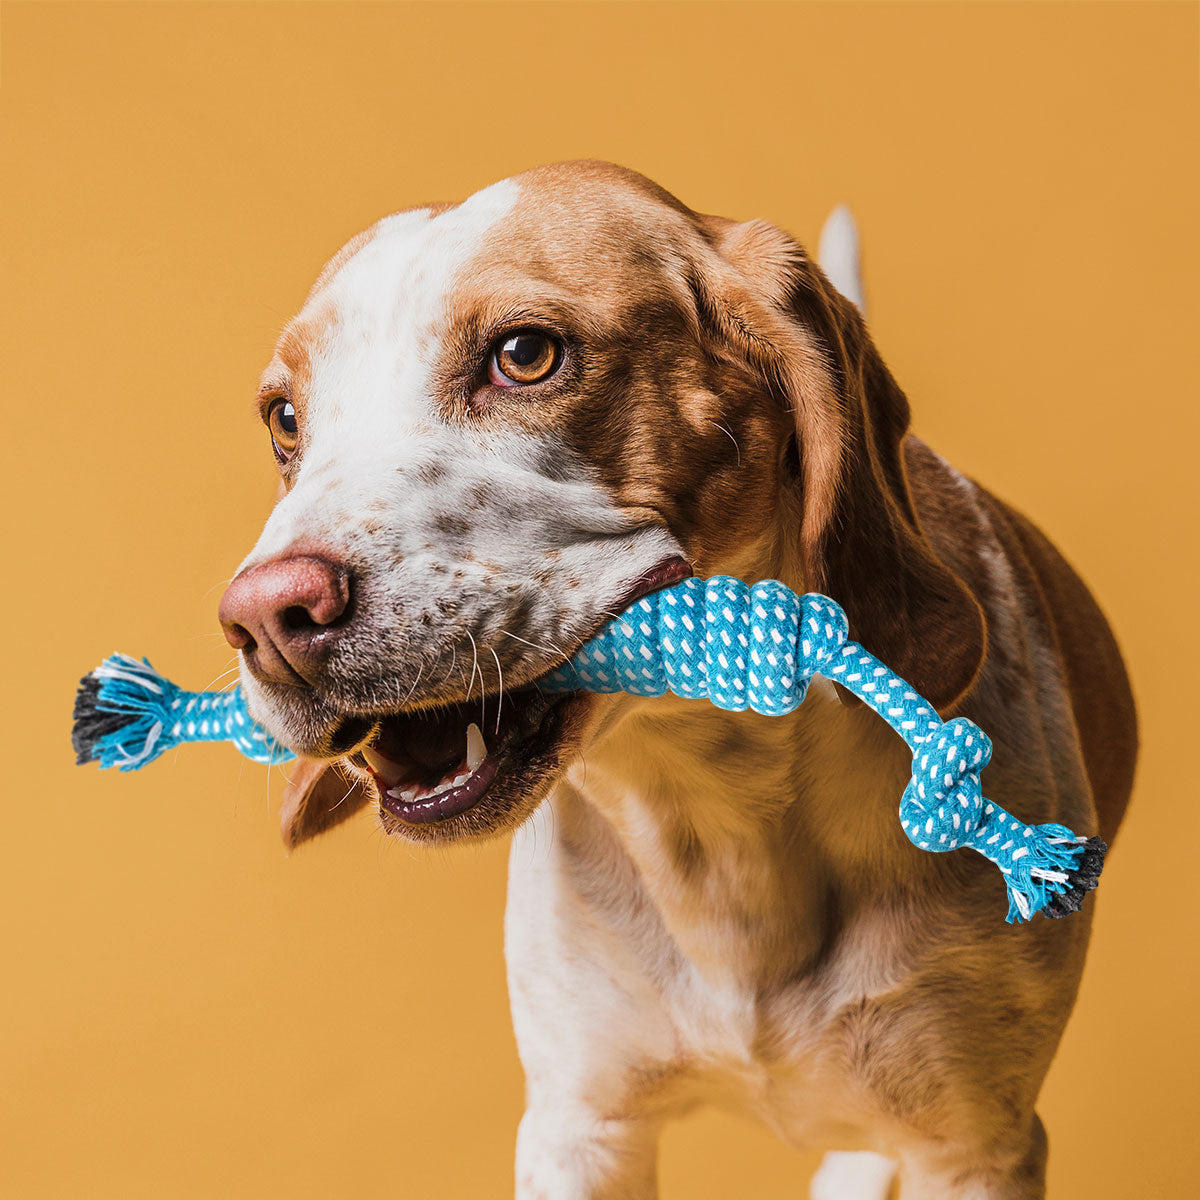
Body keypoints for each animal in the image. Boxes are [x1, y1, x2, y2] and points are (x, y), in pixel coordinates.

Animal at [218, 162, 1132, 1200]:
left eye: (525, 355)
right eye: (285, 419)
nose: (265, 618)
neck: (717, 815)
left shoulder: (972, 1148)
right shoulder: (581, 1131)